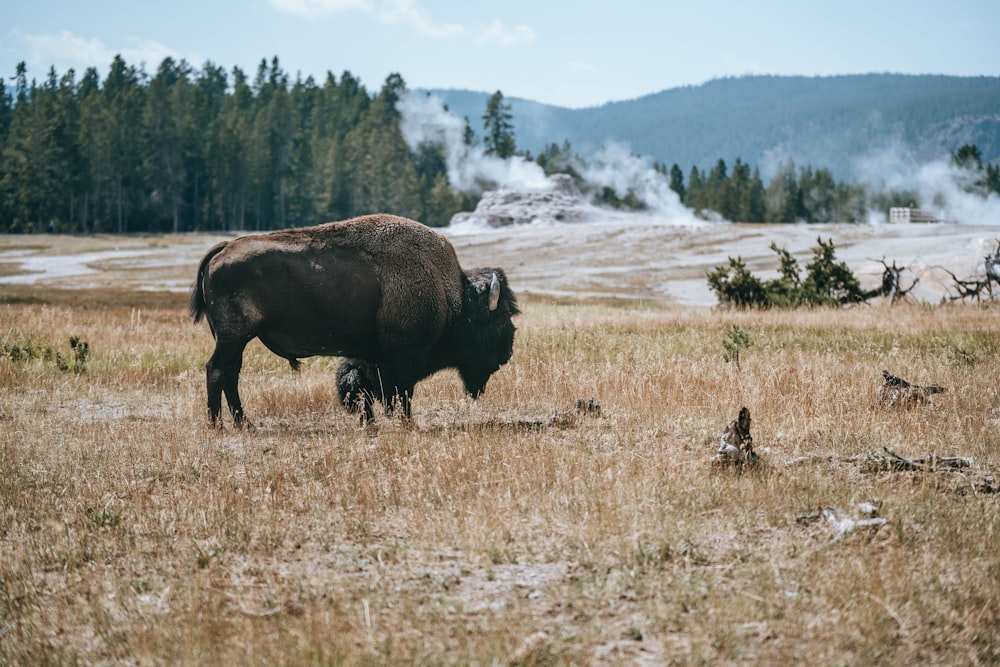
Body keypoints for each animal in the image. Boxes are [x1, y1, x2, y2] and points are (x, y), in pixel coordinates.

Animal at [188, 214, 520, 428]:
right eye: (499, 320)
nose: (506, 355)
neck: (450, 294)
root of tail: (222, 249)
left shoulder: (369, 355)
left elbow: (362, 385)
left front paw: (371, 422)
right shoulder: (402, 356)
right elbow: (398, 391)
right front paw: (405, 423)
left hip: (234, 340)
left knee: (229, 374)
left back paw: (241, 423)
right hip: (234, 337)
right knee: (218, 371)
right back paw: (221, 424)